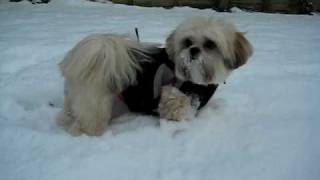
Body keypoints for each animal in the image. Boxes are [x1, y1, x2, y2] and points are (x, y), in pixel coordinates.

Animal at [57, 16, 252, 136]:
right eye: (187, 42)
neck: (196, 81)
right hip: (95, 103)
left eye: (210, 44)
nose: (194, 50)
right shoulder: (173, 97)